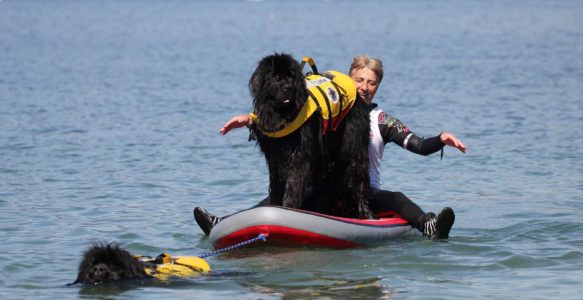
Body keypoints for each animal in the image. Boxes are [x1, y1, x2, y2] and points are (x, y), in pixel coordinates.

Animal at [249, 54, 372, 218]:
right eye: (274, 76)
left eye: (291, 76)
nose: (288, 87)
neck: (283, 114)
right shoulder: (273, 156)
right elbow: (275, 182)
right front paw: (275, 204)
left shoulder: (299, 154)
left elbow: (293, 183)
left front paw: (289, 207)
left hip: (352, 141)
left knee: (357, 171)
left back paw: (365, 212)